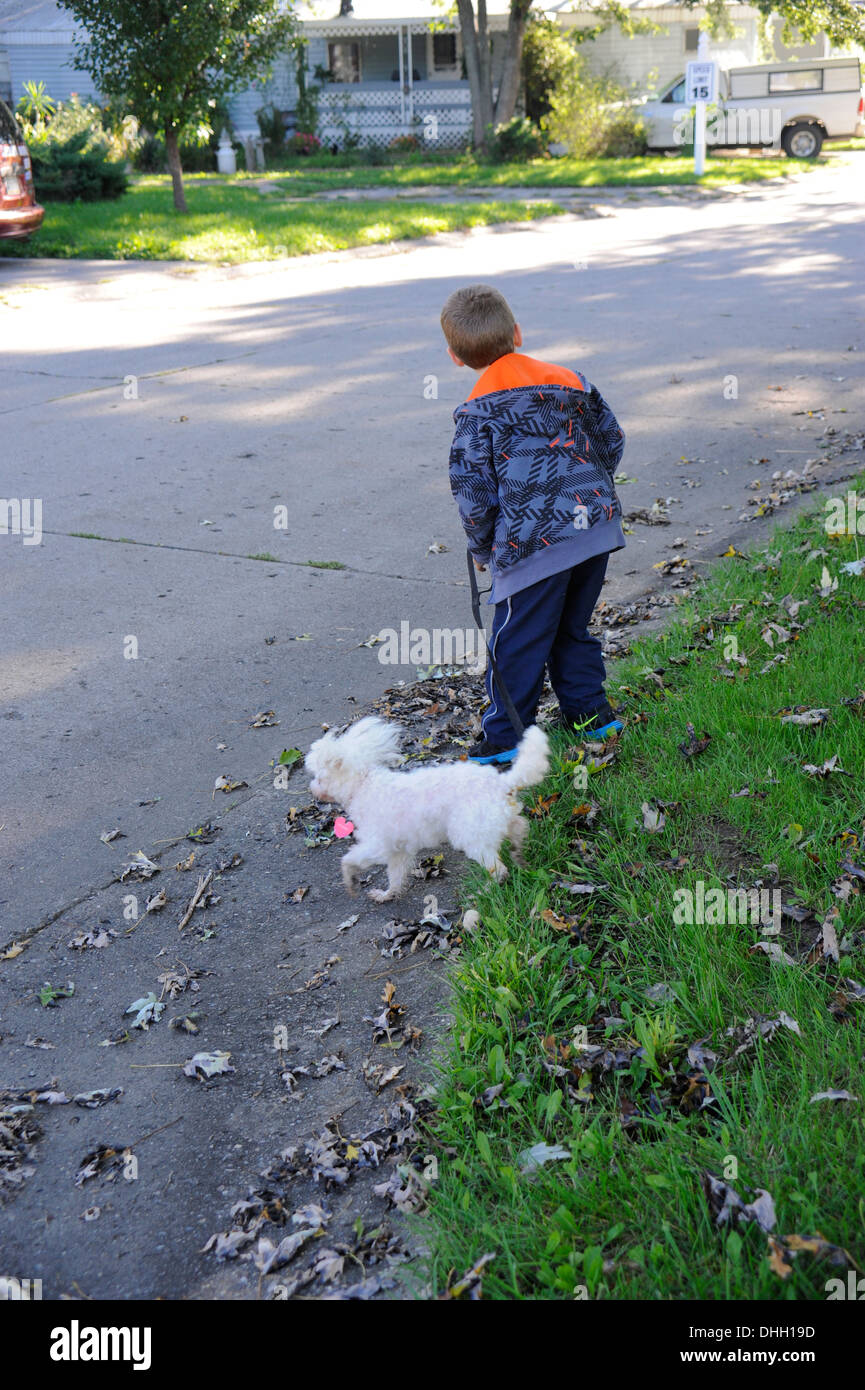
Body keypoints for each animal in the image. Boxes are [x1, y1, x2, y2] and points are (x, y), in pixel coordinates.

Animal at [307, 717, 547, 900]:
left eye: (319, 778)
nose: (312, 788)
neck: (363, 784)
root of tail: (502, 782)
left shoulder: (378, 845)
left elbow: (349, 859)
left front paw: (349, 878)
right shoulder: (398, 850)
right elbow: (395, 875)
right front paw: (387, 894)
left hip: (471, 835)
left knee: (498, 870)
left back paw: (484, 891)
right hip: (497, 820)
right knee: (519, 827)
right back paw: (519, 853)